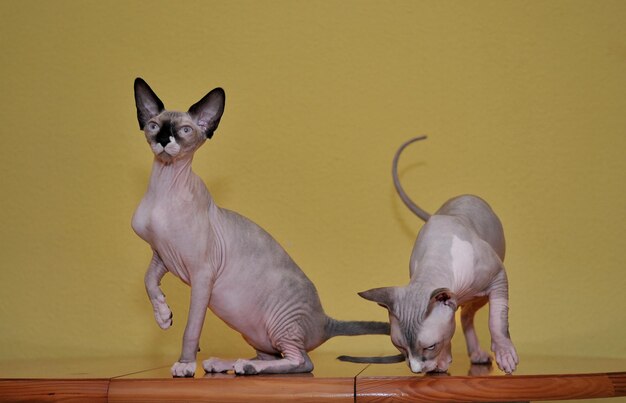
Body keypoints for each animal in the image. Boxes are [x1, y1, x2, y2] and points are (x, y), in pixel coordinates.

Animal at [130, 79, 388, 378]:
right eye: (154, 125)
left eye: (184, 130)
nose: (163, 140)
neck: (165, 186)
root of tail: (325, 320)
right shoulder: (162, 255)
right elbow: (148, 280)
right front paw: (163, 315)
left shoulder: (202, 273)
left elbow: (191, 328)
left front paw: (184, 364)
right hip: (253, 330)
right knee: (270, 354)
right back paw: (225, 363)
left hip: (281, 323)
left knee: (302, 362)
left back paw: (248, 366)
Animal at [338, 137, 516, 376]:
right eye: (400, 347)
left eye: (430, 346)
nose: (415, 370)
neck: (436, 258)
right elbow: (449, 329)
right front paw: (442, 362)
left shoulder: (498, 276)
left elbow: (497, 321)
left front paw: (505, 356)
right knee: (465, 316)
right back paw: (476, 354)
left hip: (481, 293)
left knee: (471, 314)